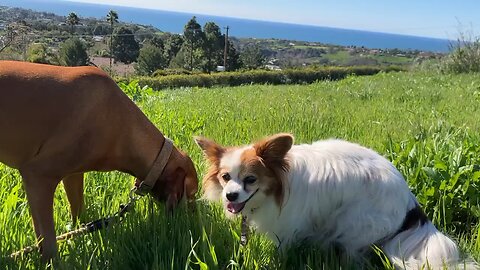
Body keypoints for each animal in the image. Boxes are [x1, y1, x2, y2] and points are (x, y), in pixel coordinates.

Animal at [0, 61, 197, 260]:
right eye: (192, 193)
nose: (196, 219)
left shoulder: (73, 174)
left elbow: (78, 213)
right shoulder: (38, 176)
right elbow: (48, 245)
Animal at [196, 134, 464, 268]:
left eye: (250, 179)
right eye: (225, 177)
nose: (230, 196)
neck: (278, 186)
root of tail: (410, 201)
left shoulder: (288, 226)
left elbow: (281, 249)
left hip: (354, 222)